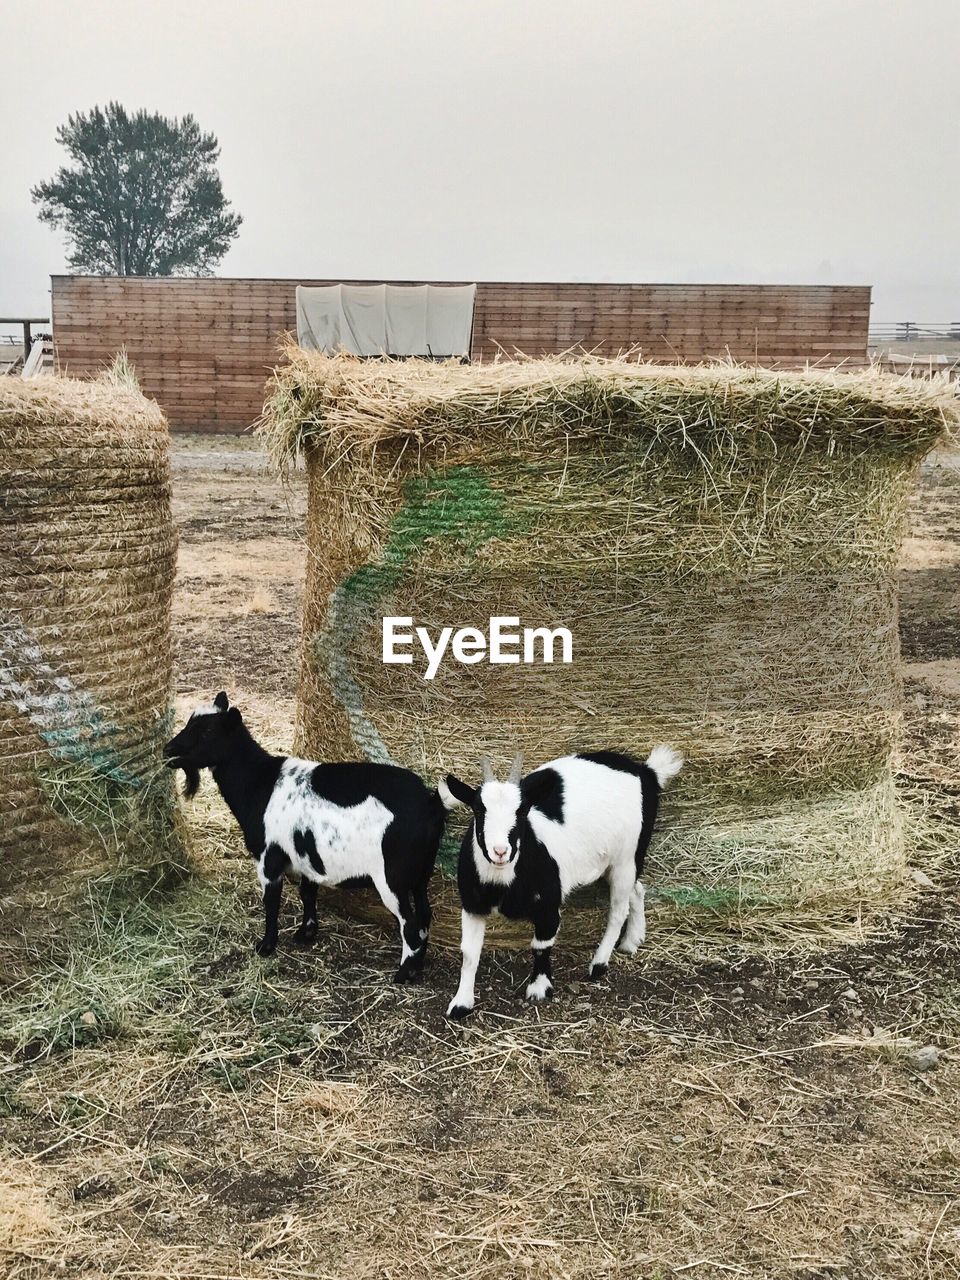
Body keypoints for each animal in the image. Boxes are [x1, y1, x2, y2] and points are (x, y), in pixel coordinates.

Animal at [163, 696, 455, 983]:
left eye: (208, 731)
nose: (168, 750)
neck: (258, 783)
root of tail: (431, 804)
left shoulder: (269, 858)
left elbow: (271, 902)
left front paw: (266, 946)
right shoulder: (305, 856)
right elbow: (307, 892)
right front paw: (306, 933)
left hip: (392, 878)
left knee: (410, 924)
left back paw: (403, 973)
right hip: (420, 873)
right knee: (425, 916)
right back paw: (417, 967)